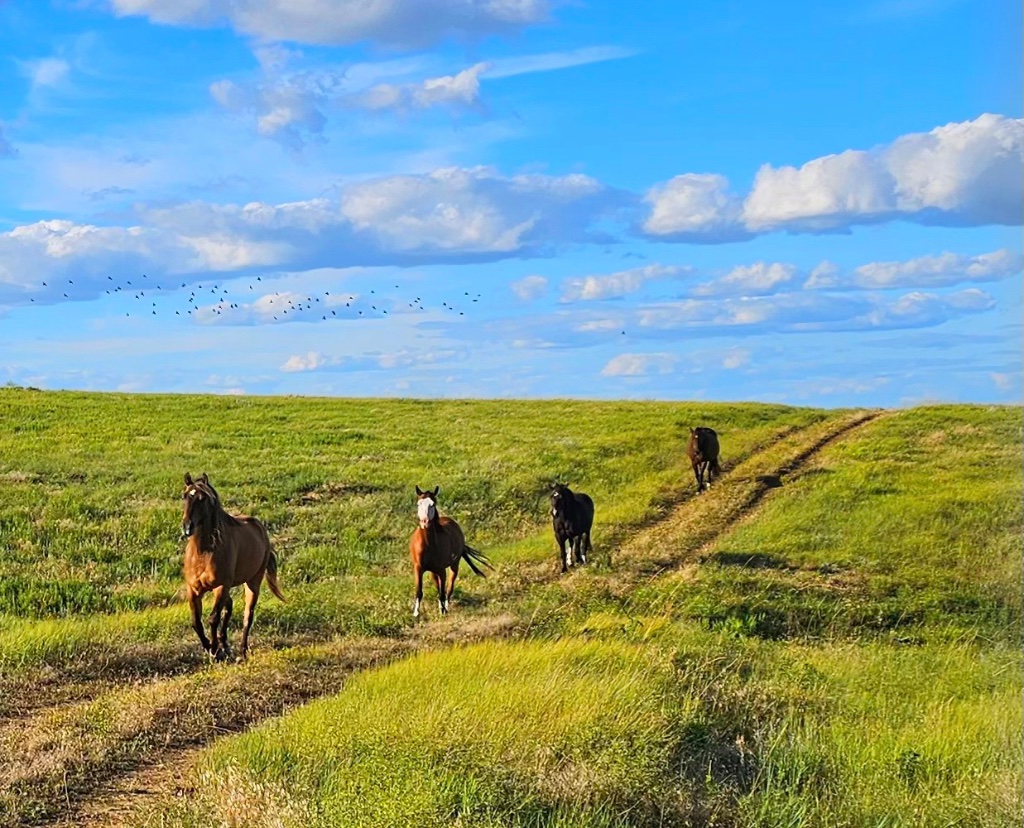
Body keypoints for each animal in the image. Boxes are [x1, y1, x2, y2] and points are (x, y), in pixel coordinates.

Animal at [180, 472, 284, 660]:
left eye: (202, 499)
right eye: (184, 496)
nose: (187, 527)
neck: (204, 552)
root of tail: (260, 528)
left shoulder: (222, 586)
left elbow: (213, 618)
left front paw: (215, 650)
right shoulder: (194, 589)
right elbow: (196, 622)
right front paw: (210, 647)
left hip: (252, 583)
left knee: (247, 616)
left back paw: (242, 650)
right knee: (229, 607)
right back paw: (225, 644)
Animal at [409, 485, 492, 618]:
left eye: (432, 504)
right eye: (418, 504)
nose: (424, 522)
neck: (428, 544)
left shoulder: (441, 570)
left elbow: (443, 591)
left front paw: (443, 611)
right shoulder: (418, 568)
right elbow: (419, 591)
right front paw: (416, 614)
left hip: (454, 565)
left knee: (449, 588)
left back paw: (445, 607)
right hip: (433, 571)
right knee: (439, 586)